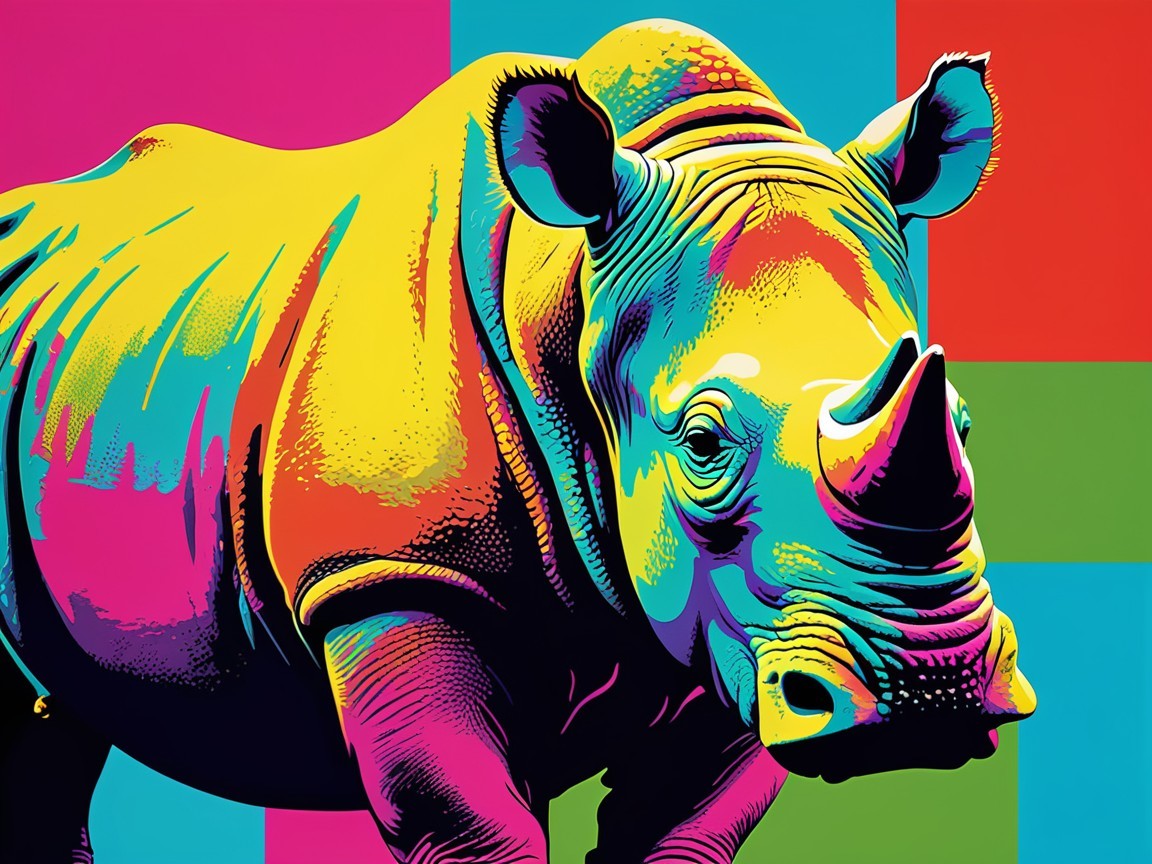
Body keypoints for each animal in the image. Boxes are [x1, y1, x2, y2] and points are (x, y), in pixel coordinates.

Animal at [0, 19, 1035, 864]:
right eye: (702, 443)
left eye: (964, 423)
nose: (932, 690)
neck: (566, 289)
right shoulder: (389, 577)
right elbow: (468, 826)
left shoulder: (738, 623)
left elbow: (678, 832)